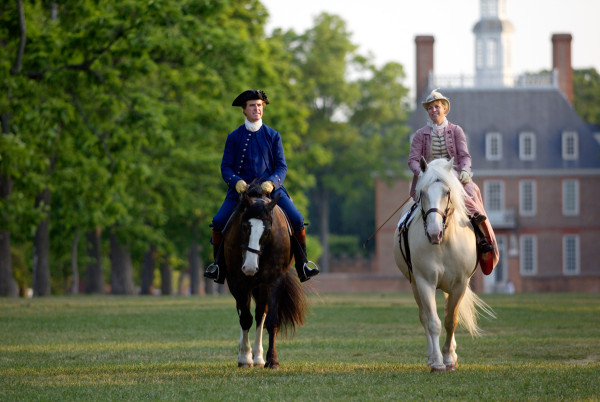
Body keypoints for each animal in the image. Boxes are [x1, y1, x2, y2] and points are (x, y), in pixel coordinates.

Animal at [225, 182, 310, 368]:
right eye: (244, 226)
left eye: (268, 230)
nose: (250, 267)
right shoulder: (236, 281)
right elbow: (245, 318)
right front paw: (244, 358)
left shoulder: (273, 280)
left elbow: (270, 320)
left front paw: (272, 360)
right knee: (244, 313)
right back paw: (246, 354)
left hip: (261, 286)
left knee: (260, 315)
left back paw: (258, 356)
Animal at [394, 158, 492, 374]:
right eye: (422, 193)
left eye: (447, 192)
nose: (433, 232)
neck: (444, 241)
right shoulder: (424, 282)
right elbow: (433, 322)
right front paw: (438, 362)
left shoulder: (460, 284)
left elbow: (451, 320)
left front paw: (448, 359)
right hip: (415, 286)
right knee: (425, 317)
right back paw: (432, 357)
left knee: (449, 312)